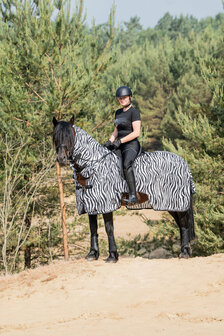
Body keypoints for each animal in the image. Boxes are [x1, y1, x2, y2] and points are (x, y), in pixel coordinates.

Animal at [53, 117, 196, 264]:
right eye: (55, 137)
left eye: (70, 137)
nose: (61, 159)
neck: (93, 166)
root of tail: (184, 162)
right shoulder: (89, 205)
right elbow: (93, 229)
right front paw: (92, 254)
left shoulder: (106, 203)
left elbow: (109, 229)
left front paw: (112, 255)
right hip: (171, 205)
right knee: (181, 224)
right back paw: (184, 250)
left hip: (177, 202)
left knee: (184, 224)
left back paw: (185, 252)